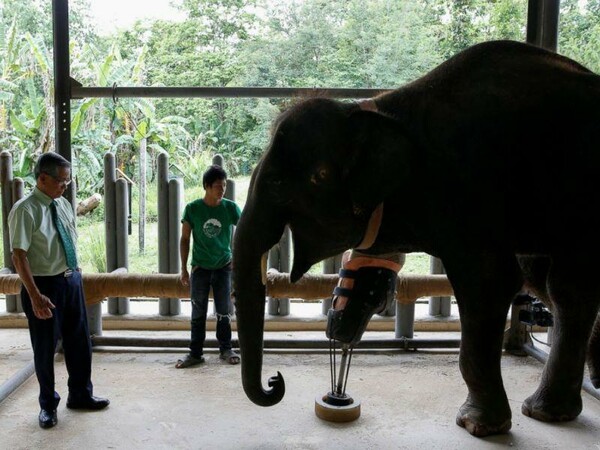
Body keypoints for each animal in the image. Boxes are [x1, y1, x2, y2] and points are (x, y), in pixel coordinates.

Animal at [232, 40, 600, 438]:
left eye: (278, 184)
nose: (275, 381)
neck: (381, 111)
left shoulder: (471, 190)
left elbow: (489, 283)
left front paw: (476, 425)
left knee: (559, 286)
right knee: (559, 285)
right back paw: (552, 409)